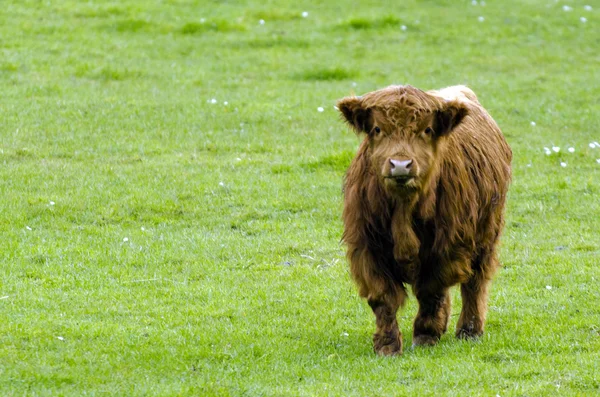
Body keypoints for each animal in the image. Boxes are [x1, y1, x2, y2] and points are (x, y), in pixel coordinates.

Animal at [338, 84, 510, 356]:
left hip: (486, 235)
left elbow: (431, 291)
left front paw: (426, 335)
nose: (400, 165)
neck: (404, 210)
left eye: (427, 129)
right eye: (377, 129)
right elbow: (383, 297)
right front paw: (387, 345)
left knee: (475, 283)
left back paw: (469, 330)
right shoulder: (366, 248)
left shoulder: (448, 248)